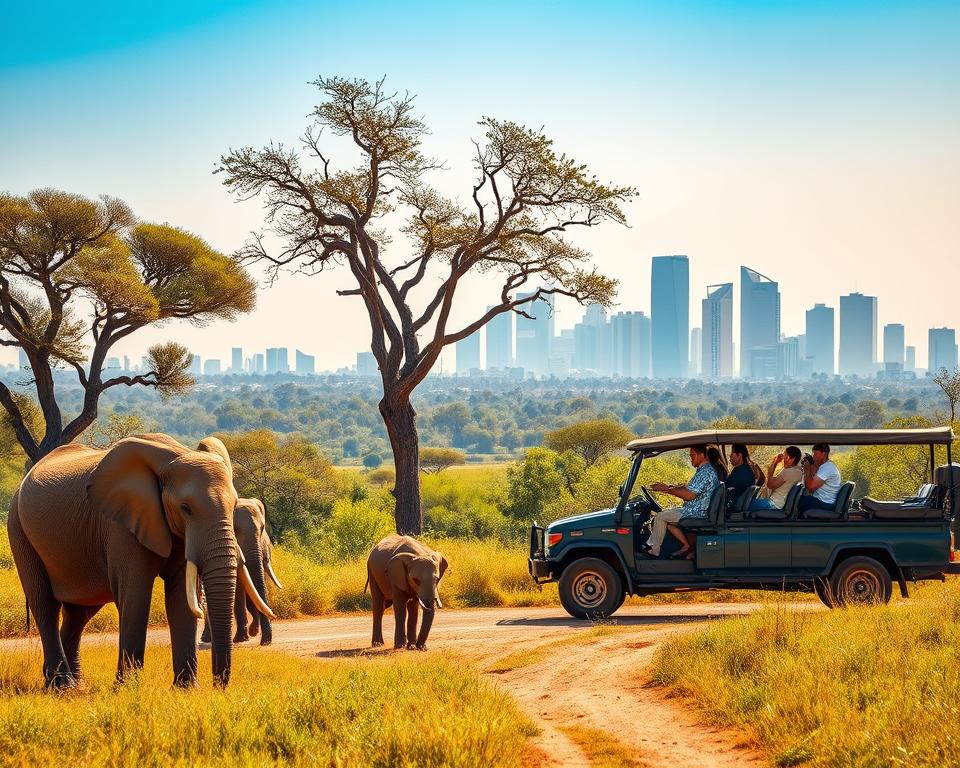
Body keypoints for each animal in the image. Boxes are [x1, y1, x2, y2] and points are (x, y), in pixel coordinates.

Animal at [7, 434, 276, 690]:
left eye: (233, 506)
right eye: (185, 508)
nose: (218, 685)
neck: (174, 456)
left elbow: (181, 596)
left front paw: (186, 689)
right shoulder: (120, 525)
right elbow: (136, 593)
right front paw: (126, 688)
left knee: (79, 612)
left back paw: (73, 684)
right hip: (18, 528)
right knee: (45, 605)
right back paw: (62, 685)